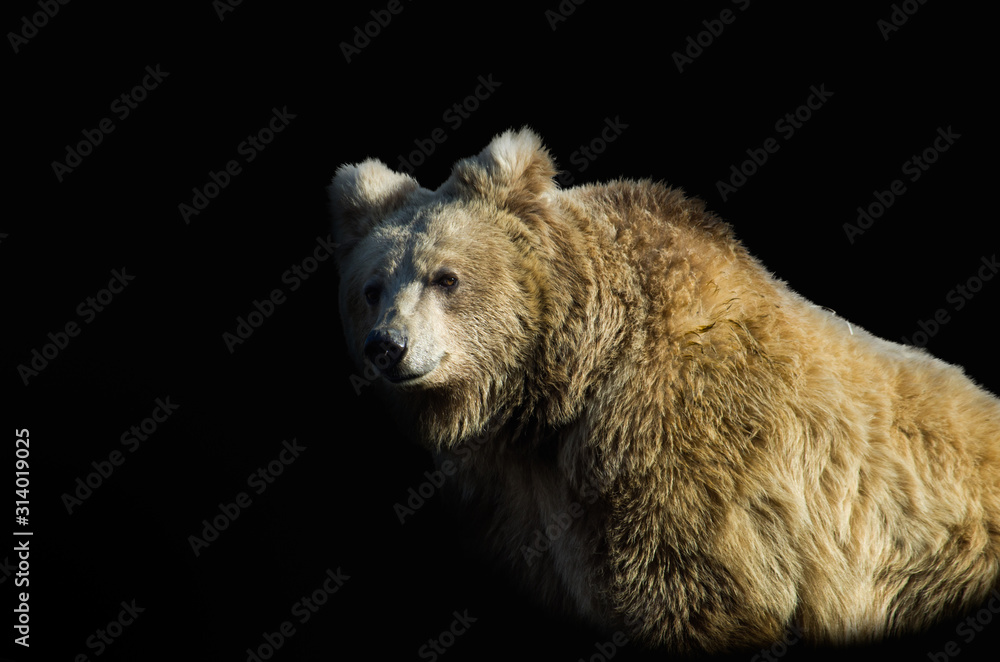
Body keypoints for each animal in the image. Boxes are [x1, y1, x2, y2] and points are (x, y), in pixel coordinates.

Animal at [329, 128, 1000, 653]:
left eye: (446, 277)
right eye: (372, 288)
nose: (388, 346)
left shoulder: (677, 449)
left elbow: (691, 595)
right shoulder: (519, 505)